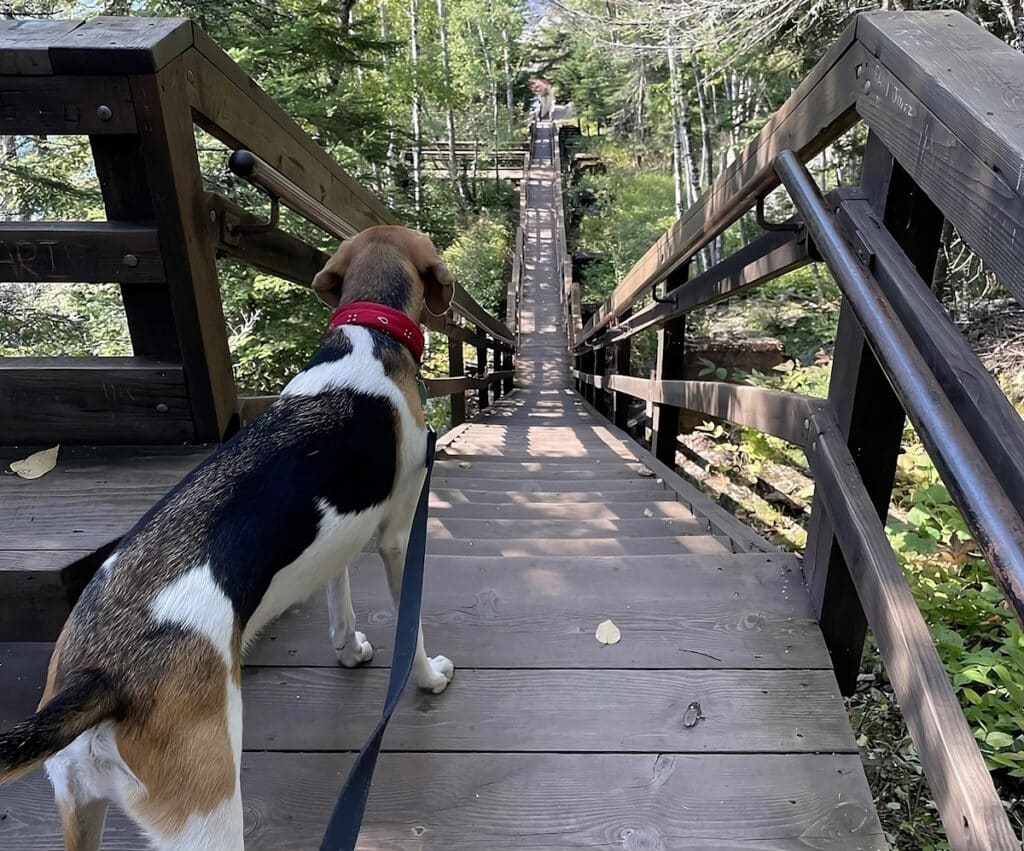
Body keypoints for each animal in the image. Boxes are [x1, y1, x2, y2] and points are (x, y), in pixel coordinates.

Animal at [0, 226, 456, 851]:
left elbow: (338, 595)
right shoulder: (398, 538)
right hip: (207, 815)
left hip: (78, 807)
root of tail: (100, 677)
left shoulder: (337, 536)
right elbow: (412, 629)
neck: (368, 337)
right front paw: (430, 678)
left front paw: (349, 649)